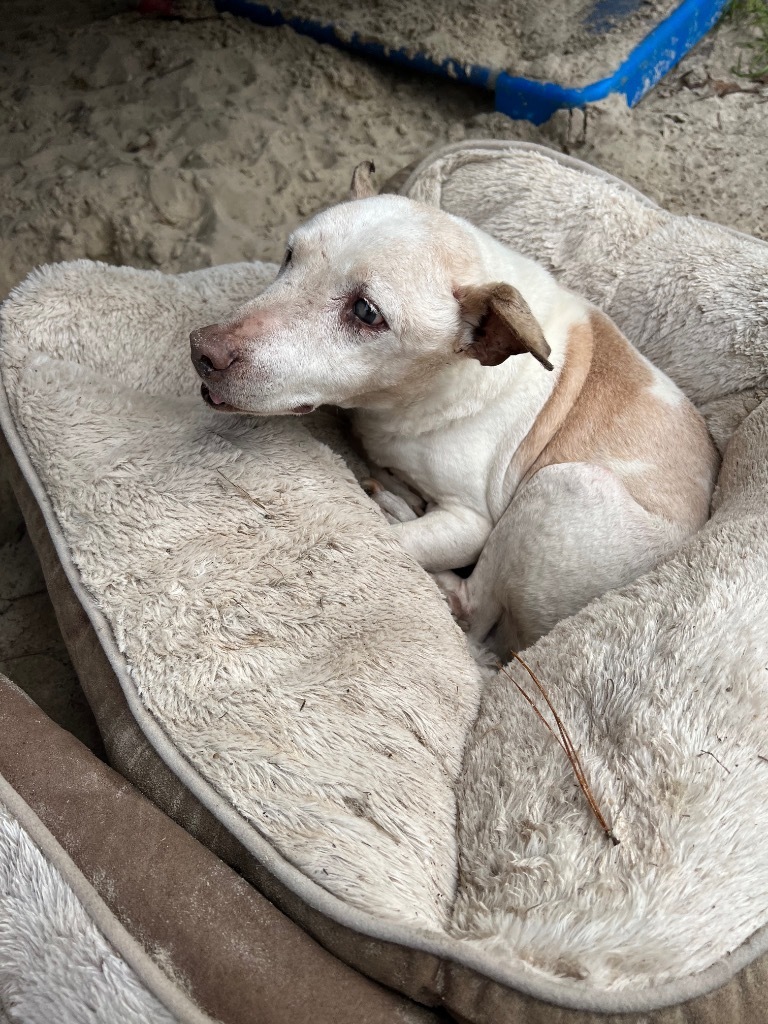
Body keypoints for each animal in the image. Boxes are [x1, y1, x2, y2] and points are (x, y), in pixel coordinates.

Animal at [192, 163, 720, 651]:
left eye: (366, 312)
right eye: (289, 255)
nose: (202, 349)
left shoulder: (473, 522)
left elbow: (390, 546)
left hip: (566, 486)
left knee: (473, 605)